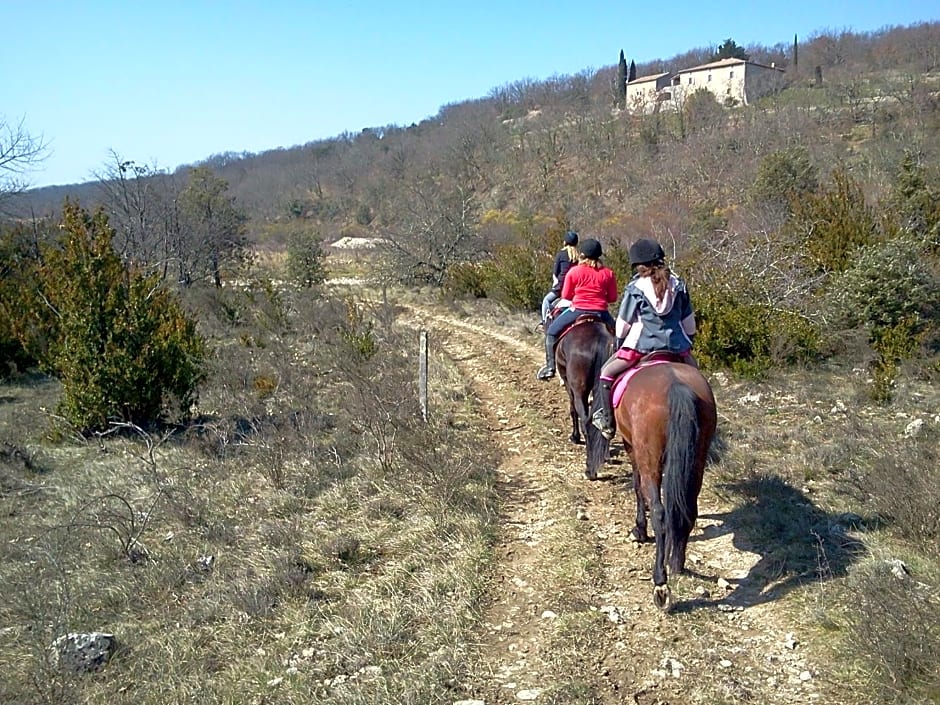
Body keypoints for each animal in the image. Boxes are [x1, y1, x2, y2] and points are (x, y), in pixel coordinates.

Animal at [556, 318, 612, 478]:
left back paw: (590, 470)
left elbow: (572, 410)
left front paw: (574, 437)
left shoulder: (568, 384)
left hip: (579, 390)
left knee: (587, 422)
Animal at [612, 360, 716, 608]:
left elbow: (637, 487)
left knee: (660, 513)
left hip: (649, 456)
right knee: (689, 509)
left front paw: (639, 529)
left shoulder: (631, 447)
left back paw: (660, 583)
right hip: (697, 459)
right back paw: (676, 562)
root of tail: (676, 385)